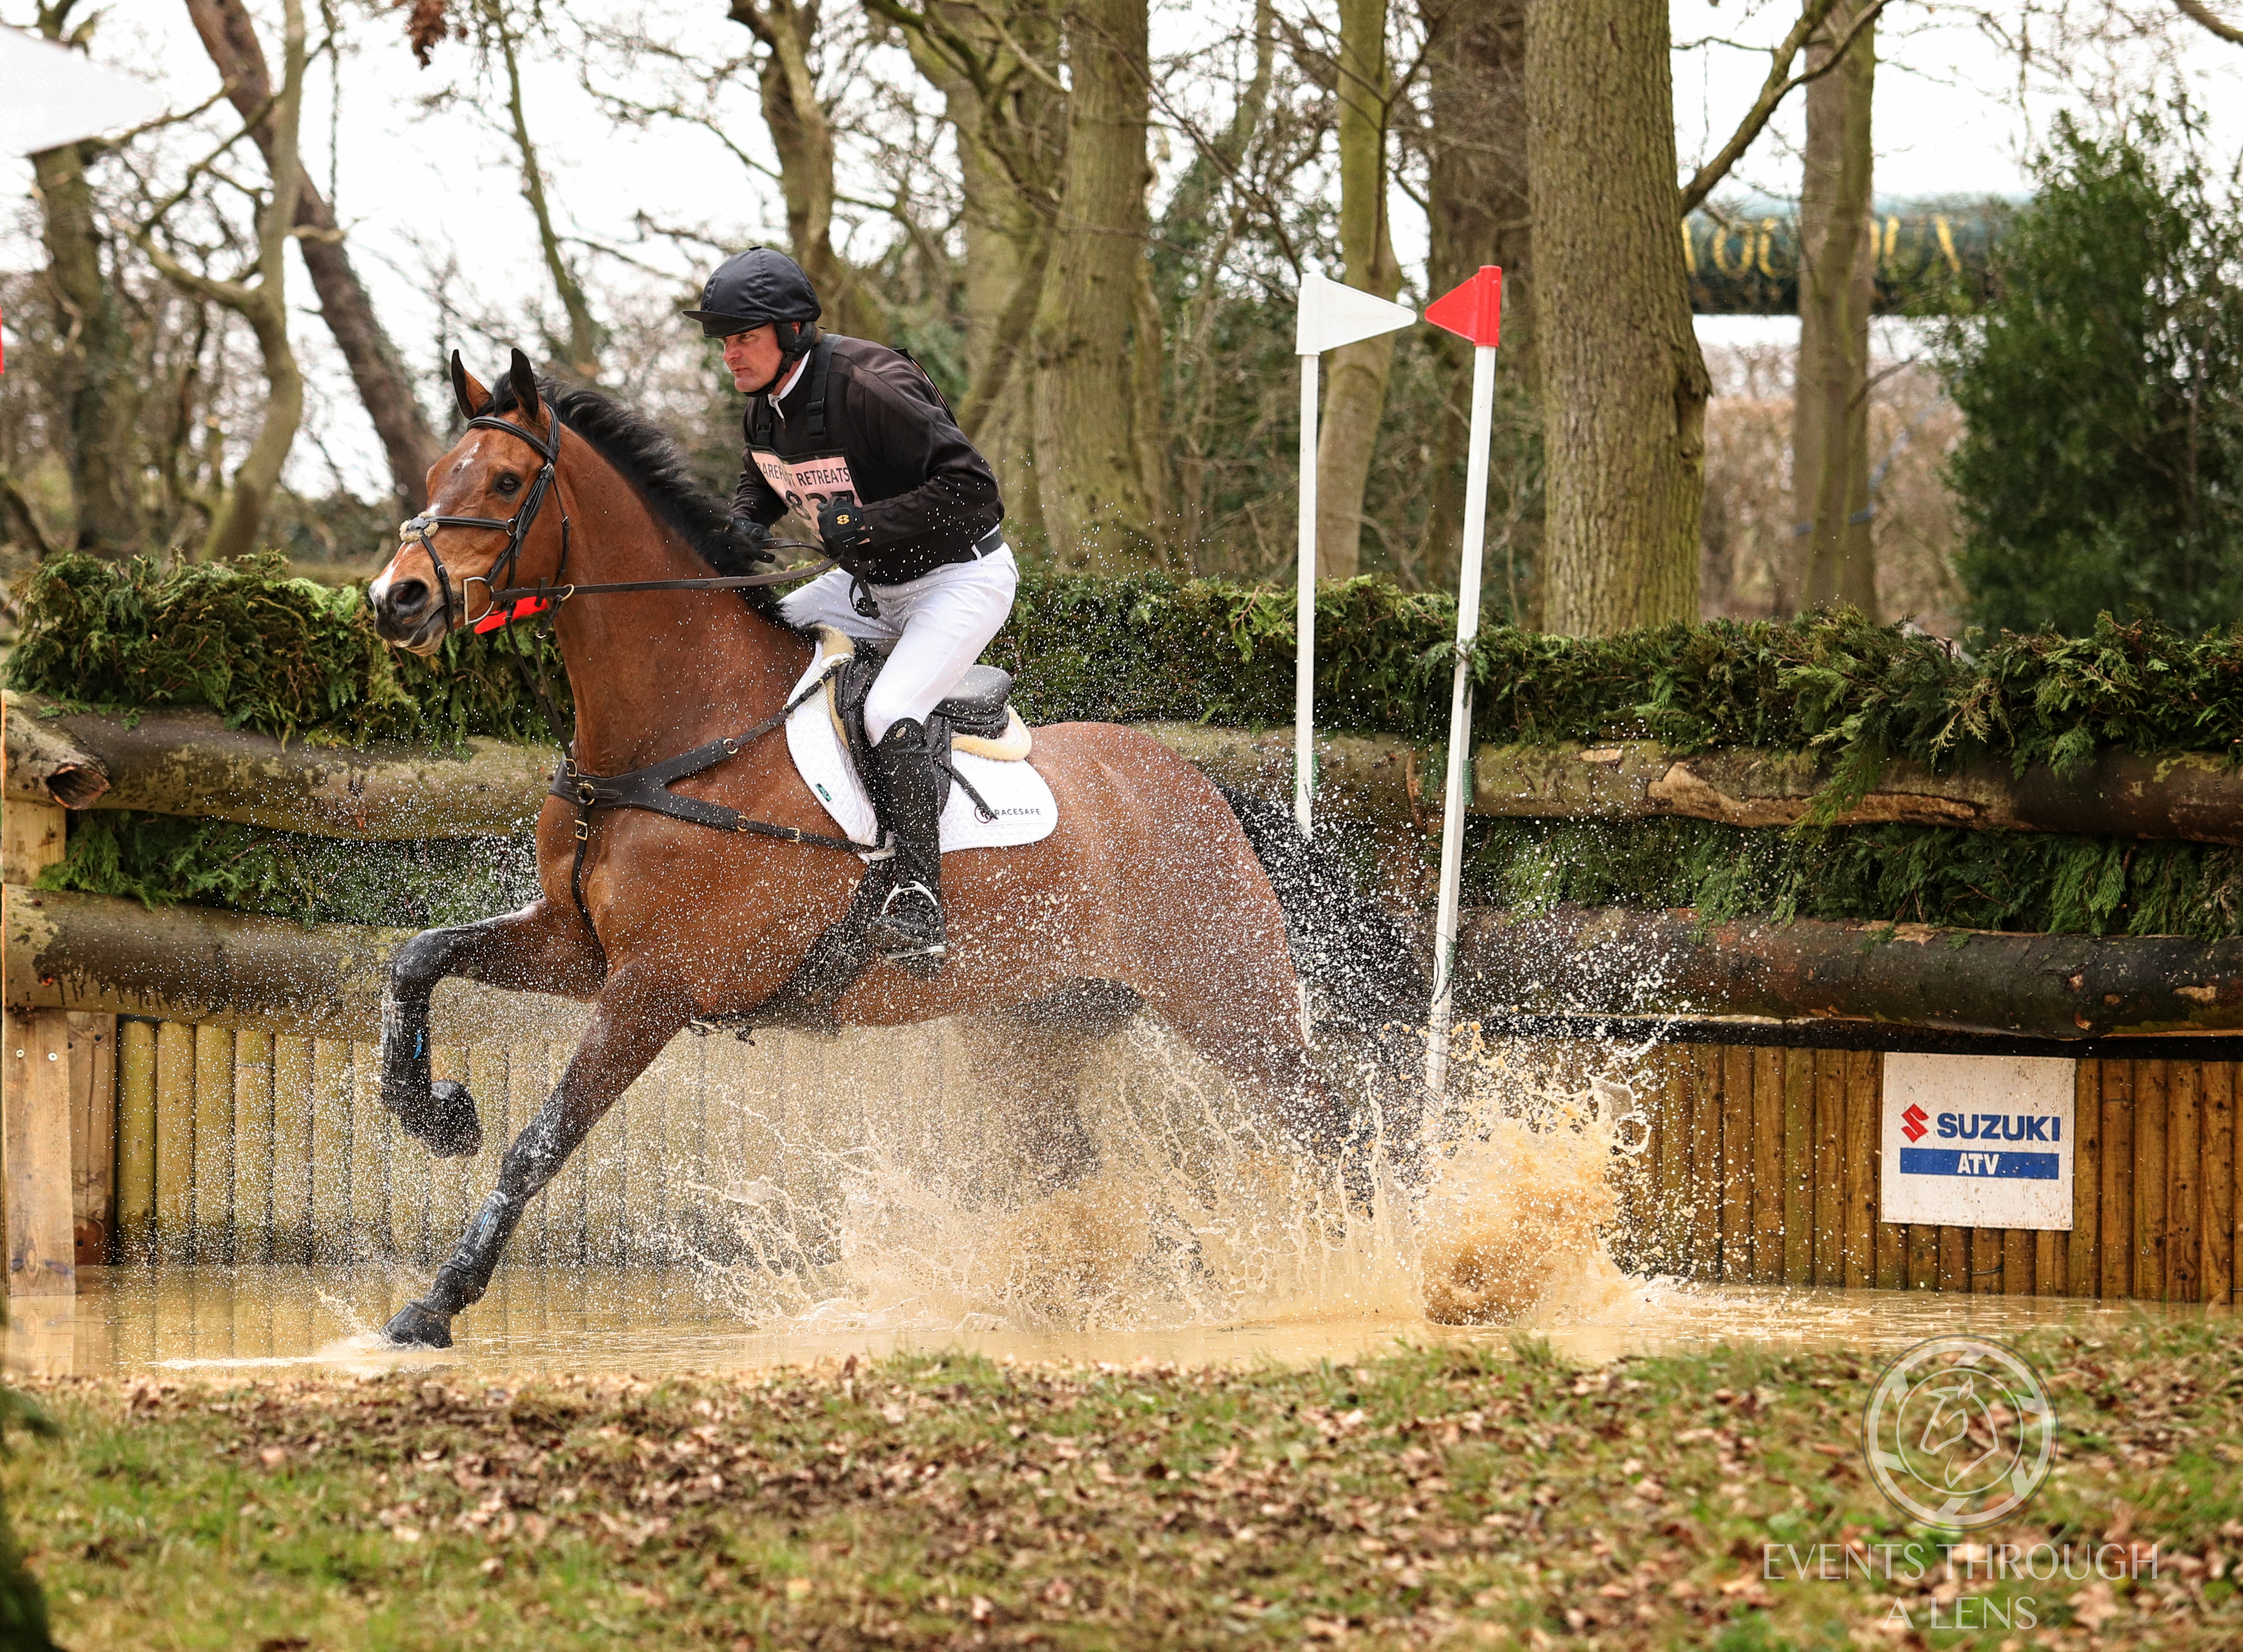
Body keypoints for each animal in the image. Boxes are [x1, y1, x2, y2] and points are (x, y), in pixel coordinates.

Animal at [365, 354, 1418, 1347]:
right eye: (438, 473)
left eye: (506, 482)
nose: (394, 599)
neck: (678, 733)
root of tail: (1202, 787)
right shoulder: (577, 946)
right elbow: (418, 956)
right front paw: (430, 1107)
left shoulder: (655, 985)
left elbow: (540, 1142)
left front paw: (434, 1305)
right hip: (1037, 1023)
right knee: (1072, 1163)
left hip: (1229, 999)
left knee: (1326, 1122)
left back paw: (1359, 1273)